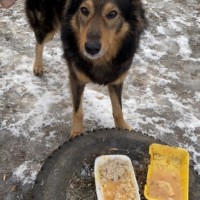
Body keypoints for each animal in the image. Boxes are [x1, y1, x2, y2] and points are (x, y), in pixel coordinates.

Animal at [25, 0, 147, 138]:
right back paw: (38, 66)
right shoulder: (76, 79)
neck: (101, 61)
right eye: (84, 10)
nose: (91, 48)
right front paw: (77, 133)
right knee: (38, 42)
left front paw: (123, 128)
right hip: (47, 26)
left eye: (112, 14)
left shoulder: (117, 79)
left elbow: (118, 110)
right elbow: (78, 111)